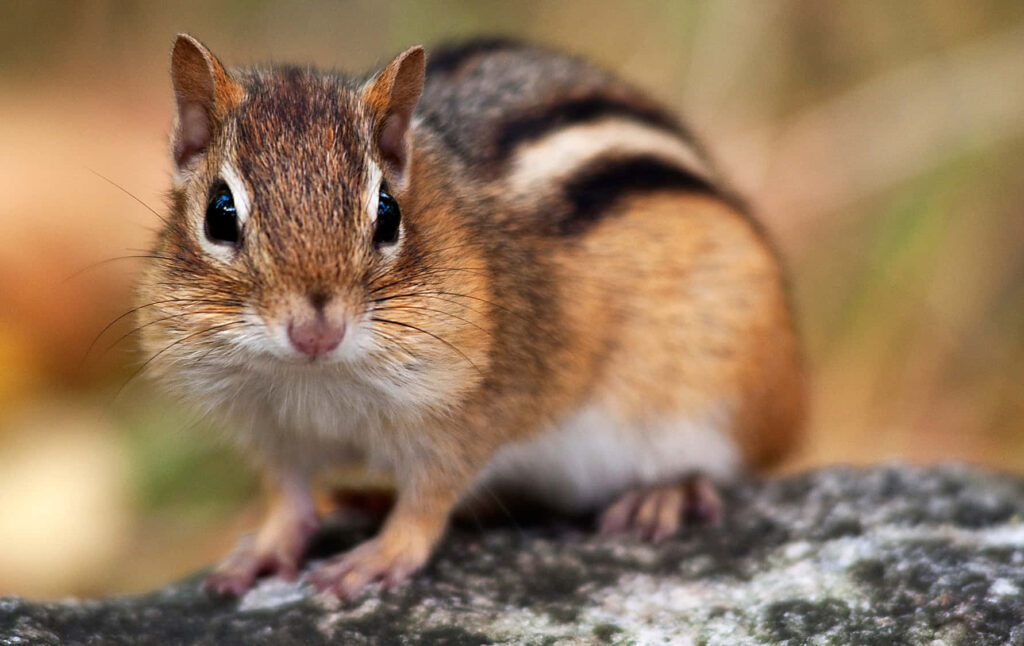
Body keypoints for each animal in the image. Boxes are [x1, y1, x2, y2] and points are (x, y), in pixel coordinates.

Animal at [136, 34, 805, 598]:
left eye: (387, 214)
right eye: (220, 213)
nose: (315, 332)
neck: (316, 382)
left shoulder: (474, 411)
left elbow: (429, 498)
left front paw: (379, 556)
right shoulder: (271, 429)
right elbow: (288, 494)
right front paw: (264, 550)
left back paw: (664, 494)